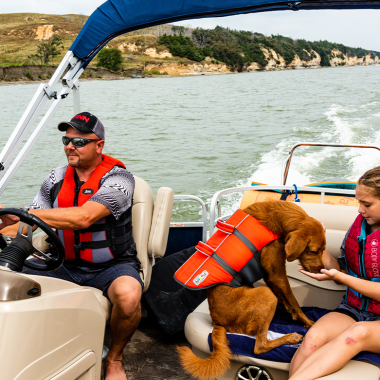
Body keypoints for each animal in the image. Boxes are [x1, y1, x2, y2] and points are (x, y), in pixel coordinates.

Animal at [177, 200, 326, 378]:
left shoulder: (270, 276)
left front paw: (293, 314)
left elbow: (287, 300)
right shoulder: (277, 274)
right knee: (259, 346)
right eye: (314, 251)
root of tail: (216, 322)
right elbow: (294, 301)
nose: (322, 270)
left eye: (324, 250)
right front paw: (308, 322)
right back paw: (291, 338)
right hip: (266, 294)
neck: (277, 219)